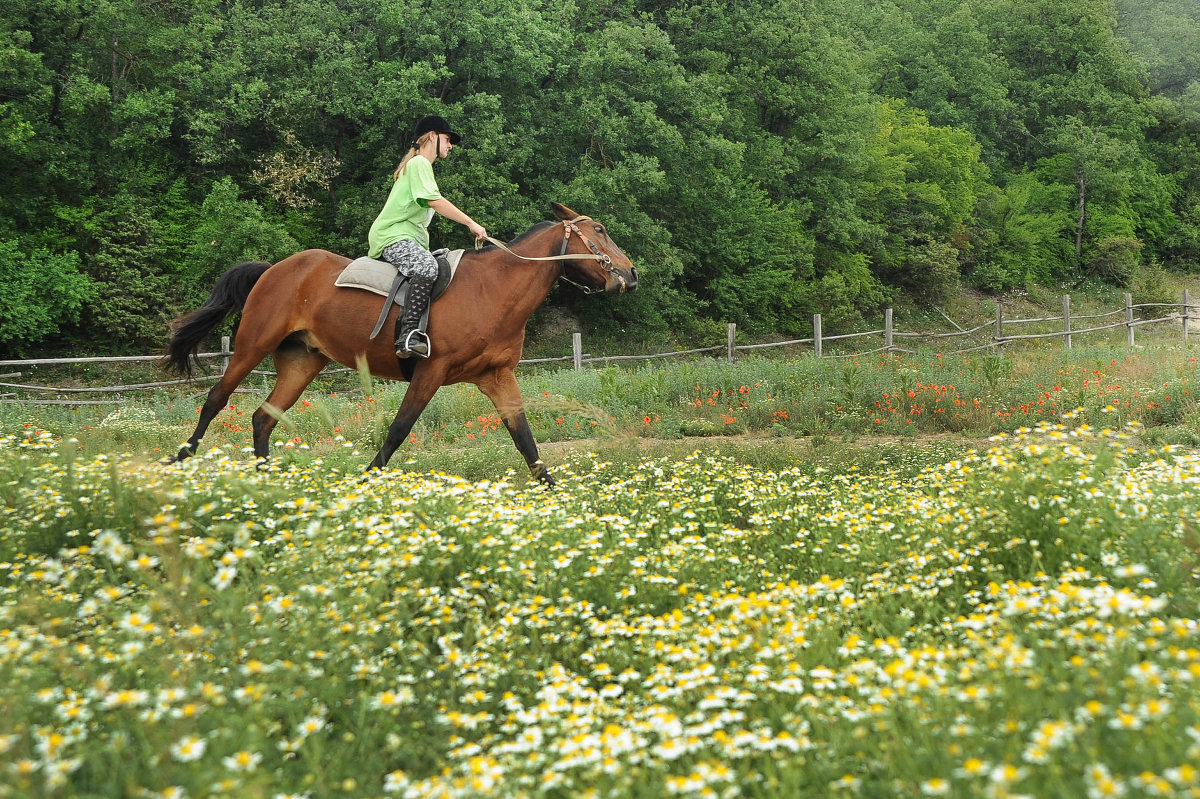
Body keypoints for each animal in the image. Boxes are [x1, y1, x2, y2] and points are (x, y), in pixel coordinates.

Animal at [166, 202, 648, 482]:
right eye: (599, 230)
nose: (631, 273)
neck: (494, 289)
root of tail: (275, 268)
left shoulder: (497, 377)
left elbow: (526, 441)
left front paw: (555, 496)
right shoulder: (430, 371)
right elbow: (398, 430)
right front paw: (364, 481)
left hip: (302, 362)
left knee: (263, 419)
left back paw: (267, 481)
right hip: (252, 345)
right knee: (216, 399)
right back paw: (180, 458)